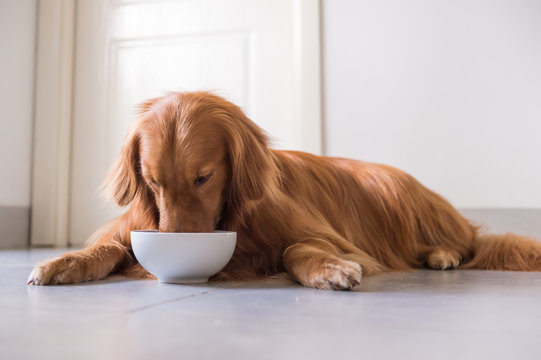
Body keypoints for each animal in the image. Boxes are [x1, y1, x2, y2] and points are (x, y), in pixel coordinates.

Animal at [27, 92, 540, 290]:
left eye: (203, 177)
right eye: (152, 182)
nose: (177, 243)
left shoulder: (318, 234)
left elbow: (298, 248)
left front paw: (328, 269)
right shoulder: (132, 225)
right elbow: (109, 248)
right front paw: (60, 264)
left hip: (399, 195)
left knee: (469, 242)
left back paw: (443, 254)